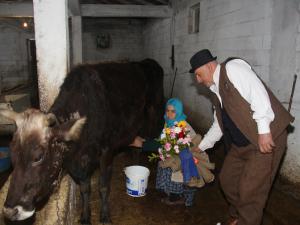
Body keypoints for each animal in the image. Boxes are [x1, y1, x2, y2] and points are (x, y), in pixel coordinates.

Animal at [0, 59, 164, 224]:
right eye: (12, 153)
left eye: (38, 157)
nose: (10, 211)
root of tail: (146, 62)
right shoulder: (78, 161)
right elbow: (85, 189)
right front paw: (85, 216)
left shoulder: (107, 151)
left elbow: (103, 187)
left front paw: (105, 216)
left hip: (154, 117)